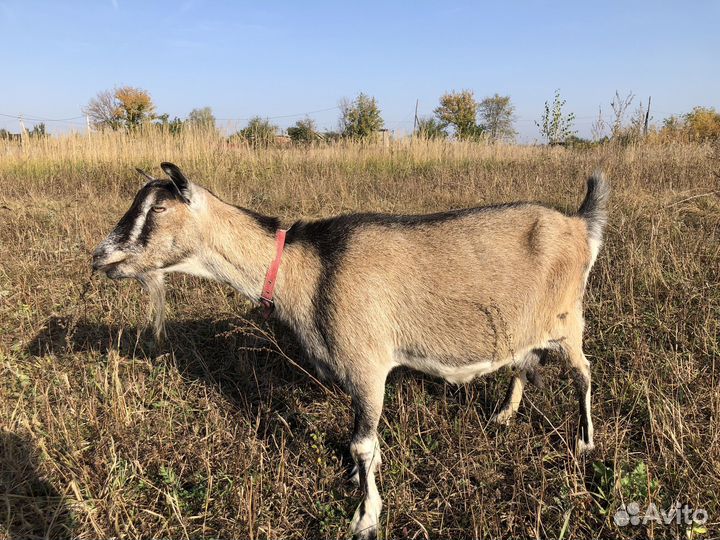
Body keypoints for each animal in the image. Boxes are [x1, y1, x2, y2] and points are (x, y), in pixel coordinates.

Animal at [93, 163, 609, 540]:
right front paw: (362, 488)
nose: (101, 258)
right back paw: (504, 414)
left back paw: (585, 441)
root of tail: (581, 224)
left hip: (568, 319)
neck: (306, 269)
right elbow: (365, 444)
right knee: (524, 361)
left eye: (159, 208)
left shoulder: (368, 367)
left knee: (584, 371)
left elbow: (362, 444)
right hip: (527, 324)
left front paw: (366, 516)